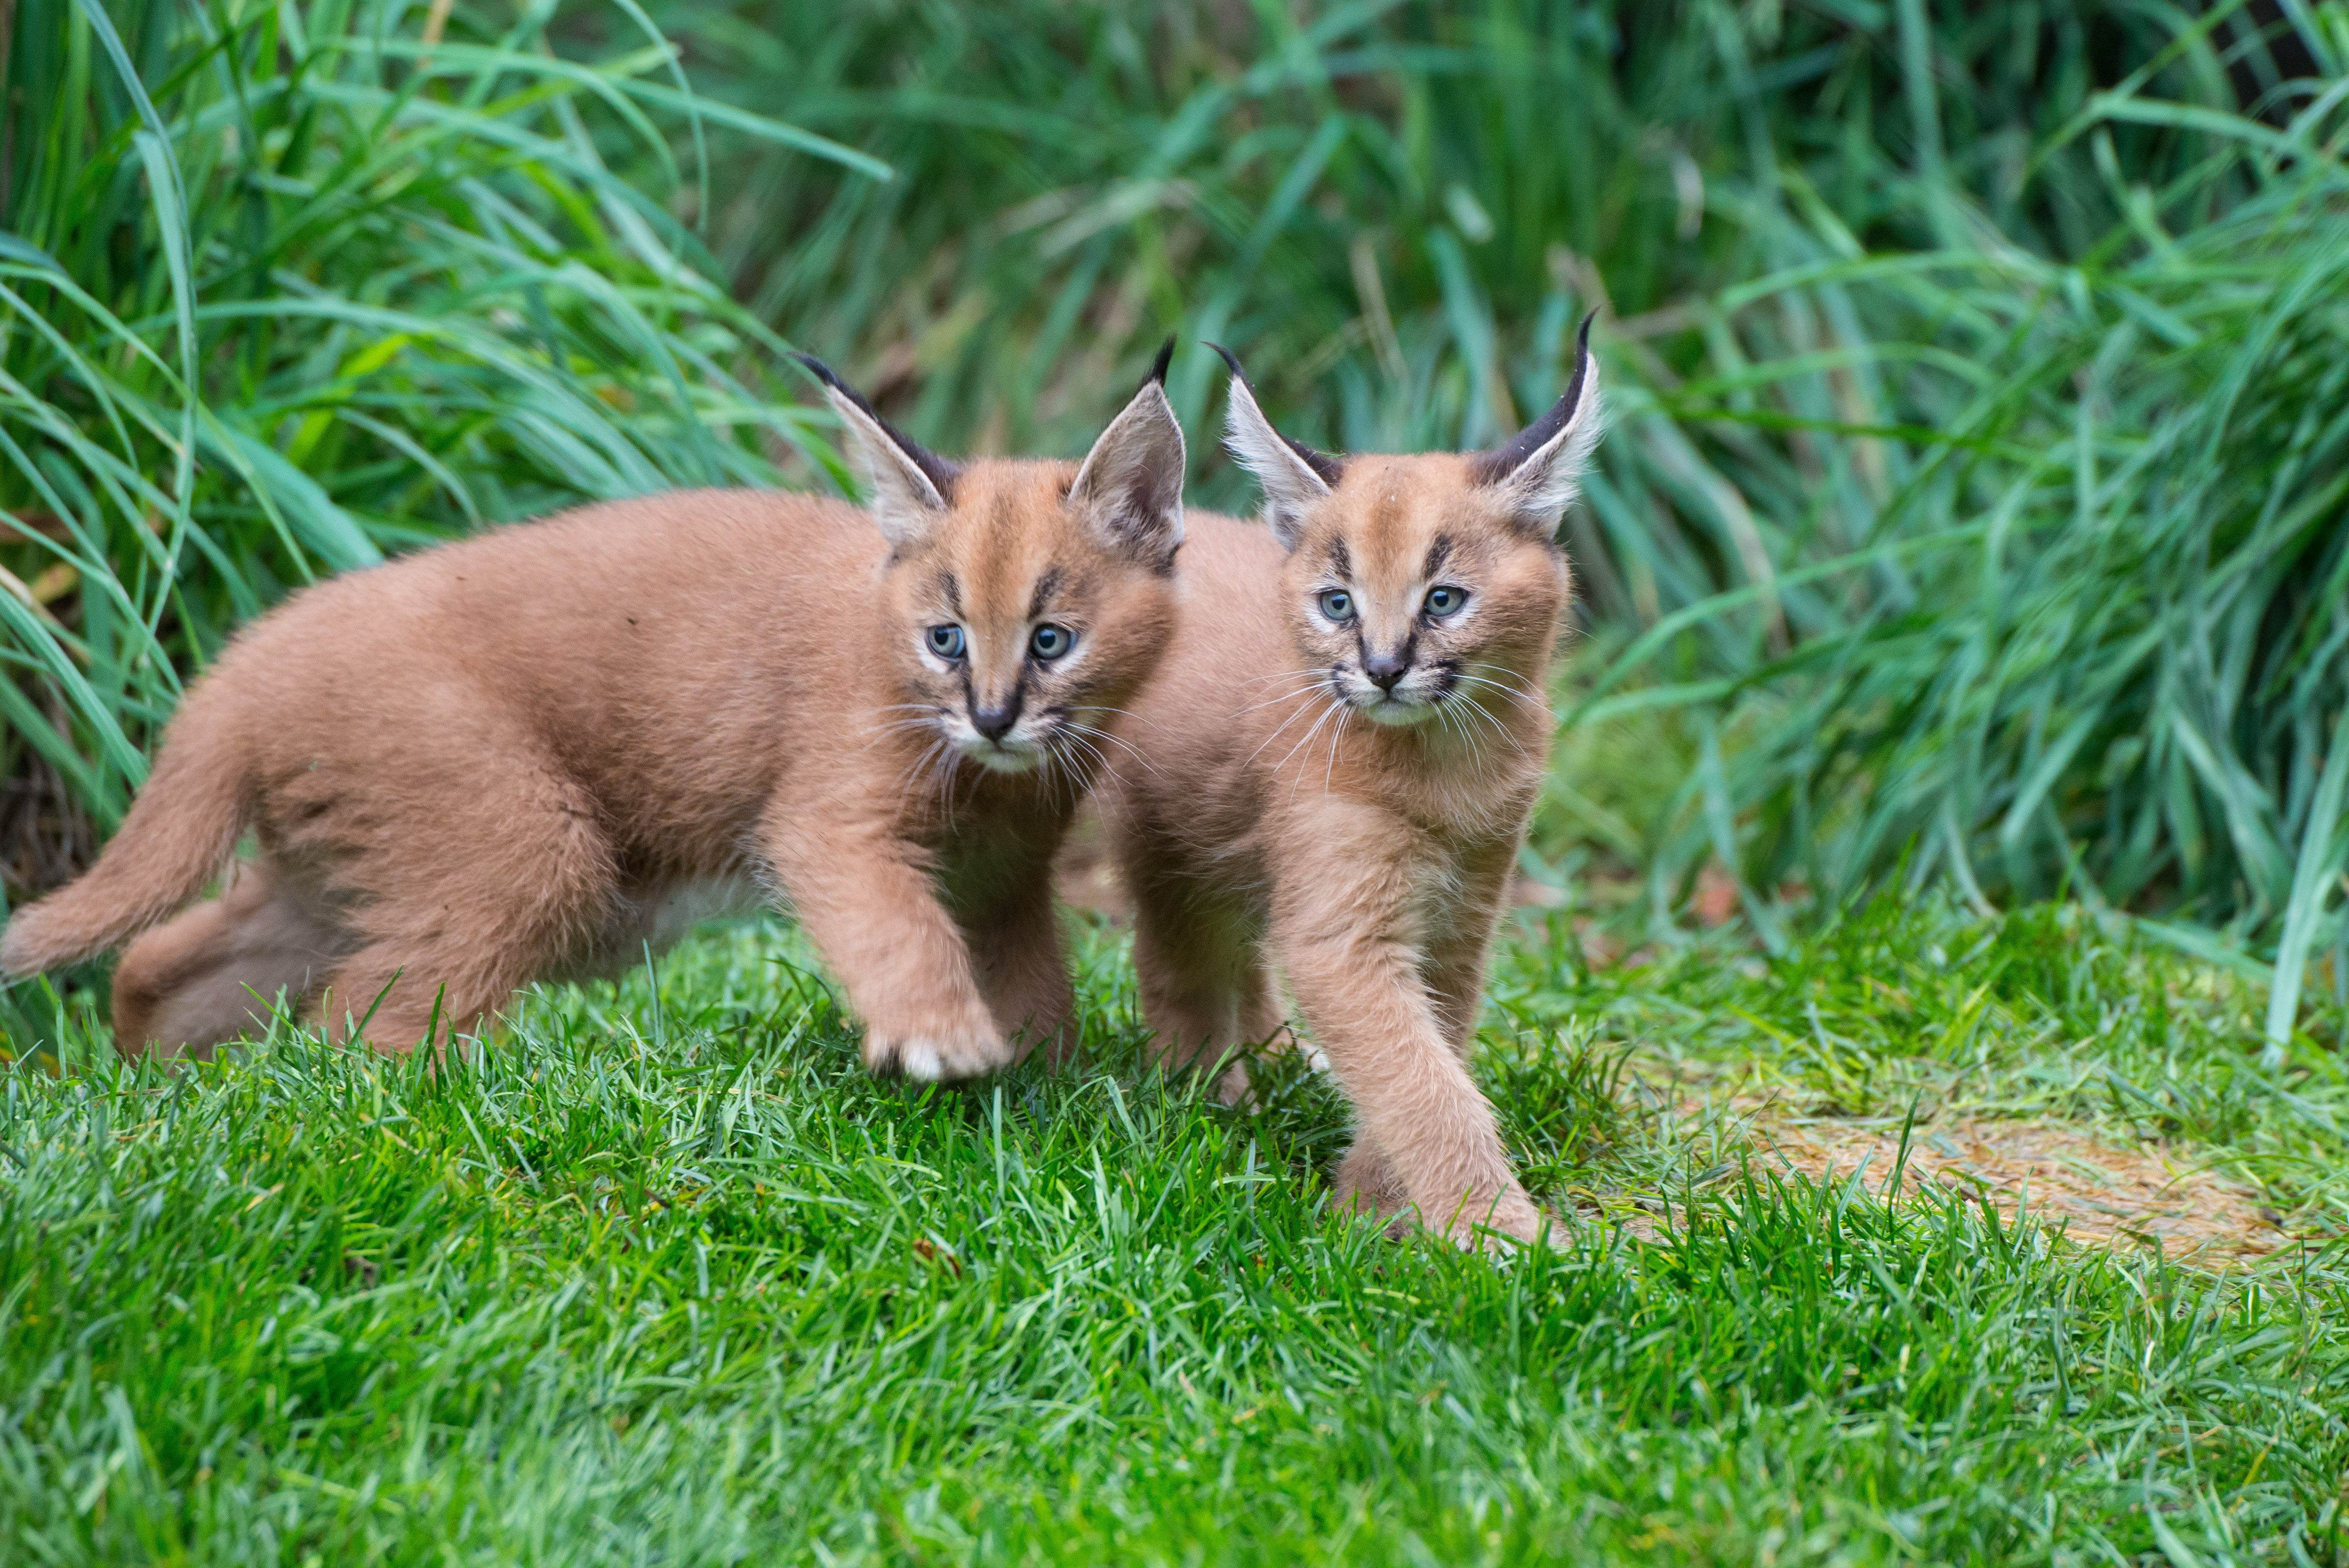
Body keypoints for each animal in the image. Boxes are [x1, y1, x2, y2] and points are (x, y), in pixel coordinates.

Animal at [0, 347, 1193, 1070]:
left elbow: (1035, 977)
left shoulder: (1003, 876)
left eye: (1050, 639)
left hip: (335, 871)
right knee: (353, 1035)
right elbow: (892, 921)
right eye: (944, 637)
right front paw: (944, 1039)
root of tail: (244, 662)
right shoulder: (831, 820)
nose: (992, 716)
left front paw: (1042, 1084)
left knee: (168, 961)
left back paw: (157, 1077)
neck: (991, 779)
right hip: (524, 846)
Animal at [1099, 321, 1597, 1249]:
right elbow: (1421, 1082)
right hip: (1169, 841)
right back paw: (1204, 1097)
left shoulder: (1460, 915)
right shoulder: (1346, 933)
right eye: (1337, 604)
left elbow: (1432, 1051)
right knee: (1180, 956)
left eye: (1444, 600)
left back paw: (1277, 1061)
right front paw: (1501, 1235)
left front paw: (1374, 1204)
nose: (1383, 668)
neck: (1451, 760)